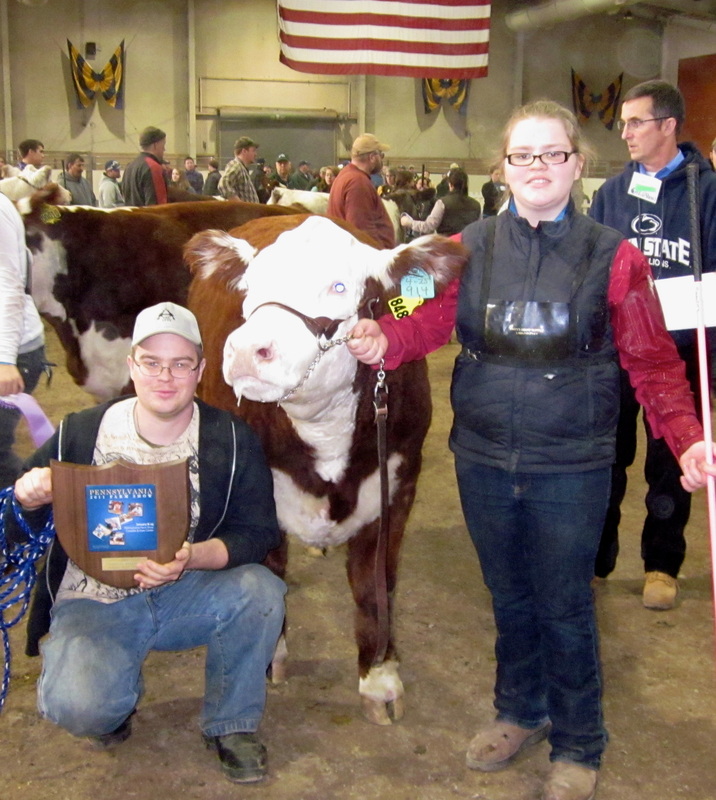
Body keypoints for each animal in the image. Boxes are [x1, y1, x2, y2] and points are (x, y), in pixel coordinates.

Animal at [183, 214, 470, 724]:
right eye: (250, 287)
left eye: (340, 286)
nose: (247, 350)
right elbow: (270, 573)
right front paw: (270, 656)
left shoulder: (398, 485)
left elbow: (375, 585)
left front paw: (379, 677)